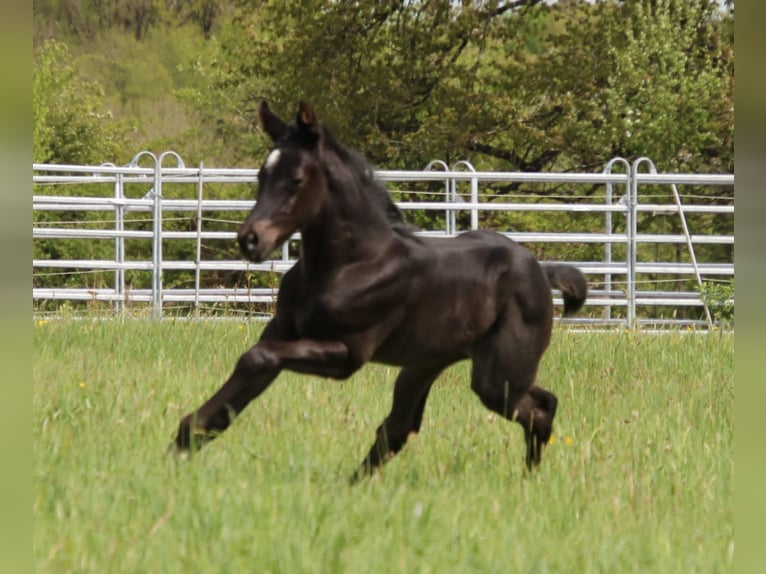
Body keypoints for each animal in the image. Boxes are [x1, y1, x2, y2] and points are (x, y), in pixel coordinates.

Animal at [174, 101, 592, 484]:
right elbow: (253, 369)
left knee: (540, 408)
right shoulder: (281, 332)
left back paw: (528, 482)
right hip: (424, 364)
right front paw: (184, 441)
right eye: (262, 175)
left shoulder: (348, 353)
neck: (349, 264)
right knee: (399, 427)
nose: (250, 240)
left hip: (497, 375)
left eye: (296, 179)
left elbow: (257, 358)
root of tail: (541, 269)